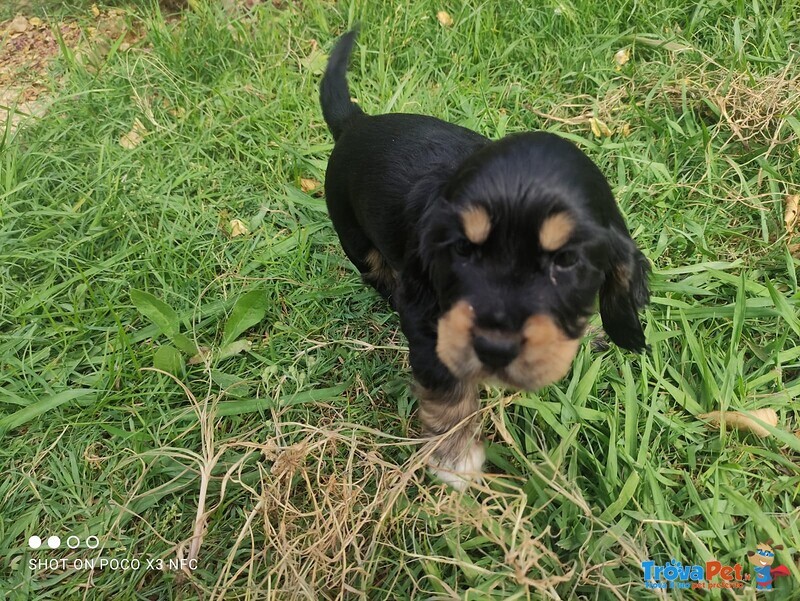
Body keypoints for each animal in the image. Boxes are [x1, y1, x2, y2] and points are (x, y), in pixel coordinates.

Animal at [318, 30, 648, 488]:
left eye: (565, 261)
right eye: (462, 250)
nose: (494, 348)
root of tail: (356, 122)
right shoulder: (429, 319)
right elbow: (445, 382)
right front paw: (454, 457)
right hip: (356, 238)